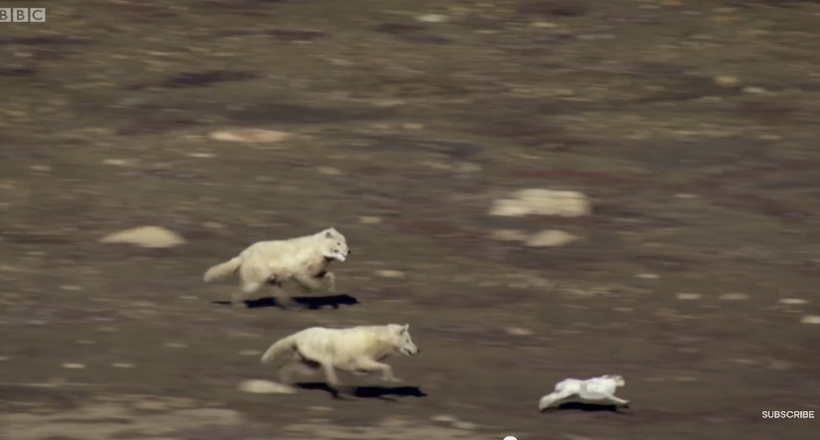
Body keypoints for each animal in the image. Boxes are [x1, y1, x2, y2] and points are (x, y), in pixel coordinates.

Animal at [203, 229, 350, 308]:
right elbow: (310, 282)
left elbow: (330, 275)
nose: (349, 251)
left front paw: (331, 291)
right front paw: (308, 290)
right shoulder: (299, 270)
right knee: (243, 290)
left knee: (278, 291)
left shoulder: (316, 269)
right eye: (338, 243)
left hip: (272, 278)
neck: (317, 248)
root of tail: (243, 254)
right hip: (258, 277)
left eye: (345, 242)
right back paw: (239, 305)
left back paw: (291, 306)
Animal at [262, 324, 420, 388]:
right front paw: (391, 379)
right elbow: (386, 366)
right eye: (408, 340)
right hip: (320, 352)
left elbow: (363, 369)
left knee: (291, 367)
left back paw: (286, 380)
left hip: (309, 364)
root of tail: (298, 334)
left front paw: (361, 374)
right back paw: (337, 383)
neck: (382, 340)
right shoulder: (362, 358)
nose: (418, 350)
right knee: (327, 364)